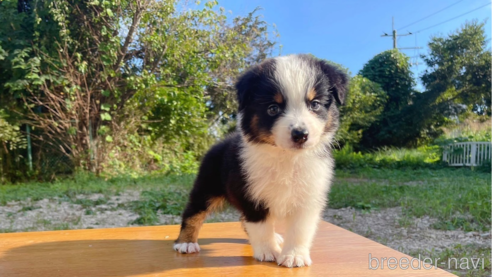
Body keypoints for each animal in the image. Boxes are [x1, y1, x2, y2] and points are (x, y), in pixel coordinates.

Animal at [175, 52, 348, 266]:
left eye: (314, 104)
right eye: (273, 109)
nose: (300, 135)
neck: (286, 157)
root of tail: (221, 141)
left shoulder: (308, 196)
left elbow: (299, 229)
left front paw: (294, 256)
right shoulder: (251, 193)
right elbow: (260, 225)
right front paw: (268, 251)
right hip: (208, 185)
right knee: (194, 211)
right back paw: (186, 242)